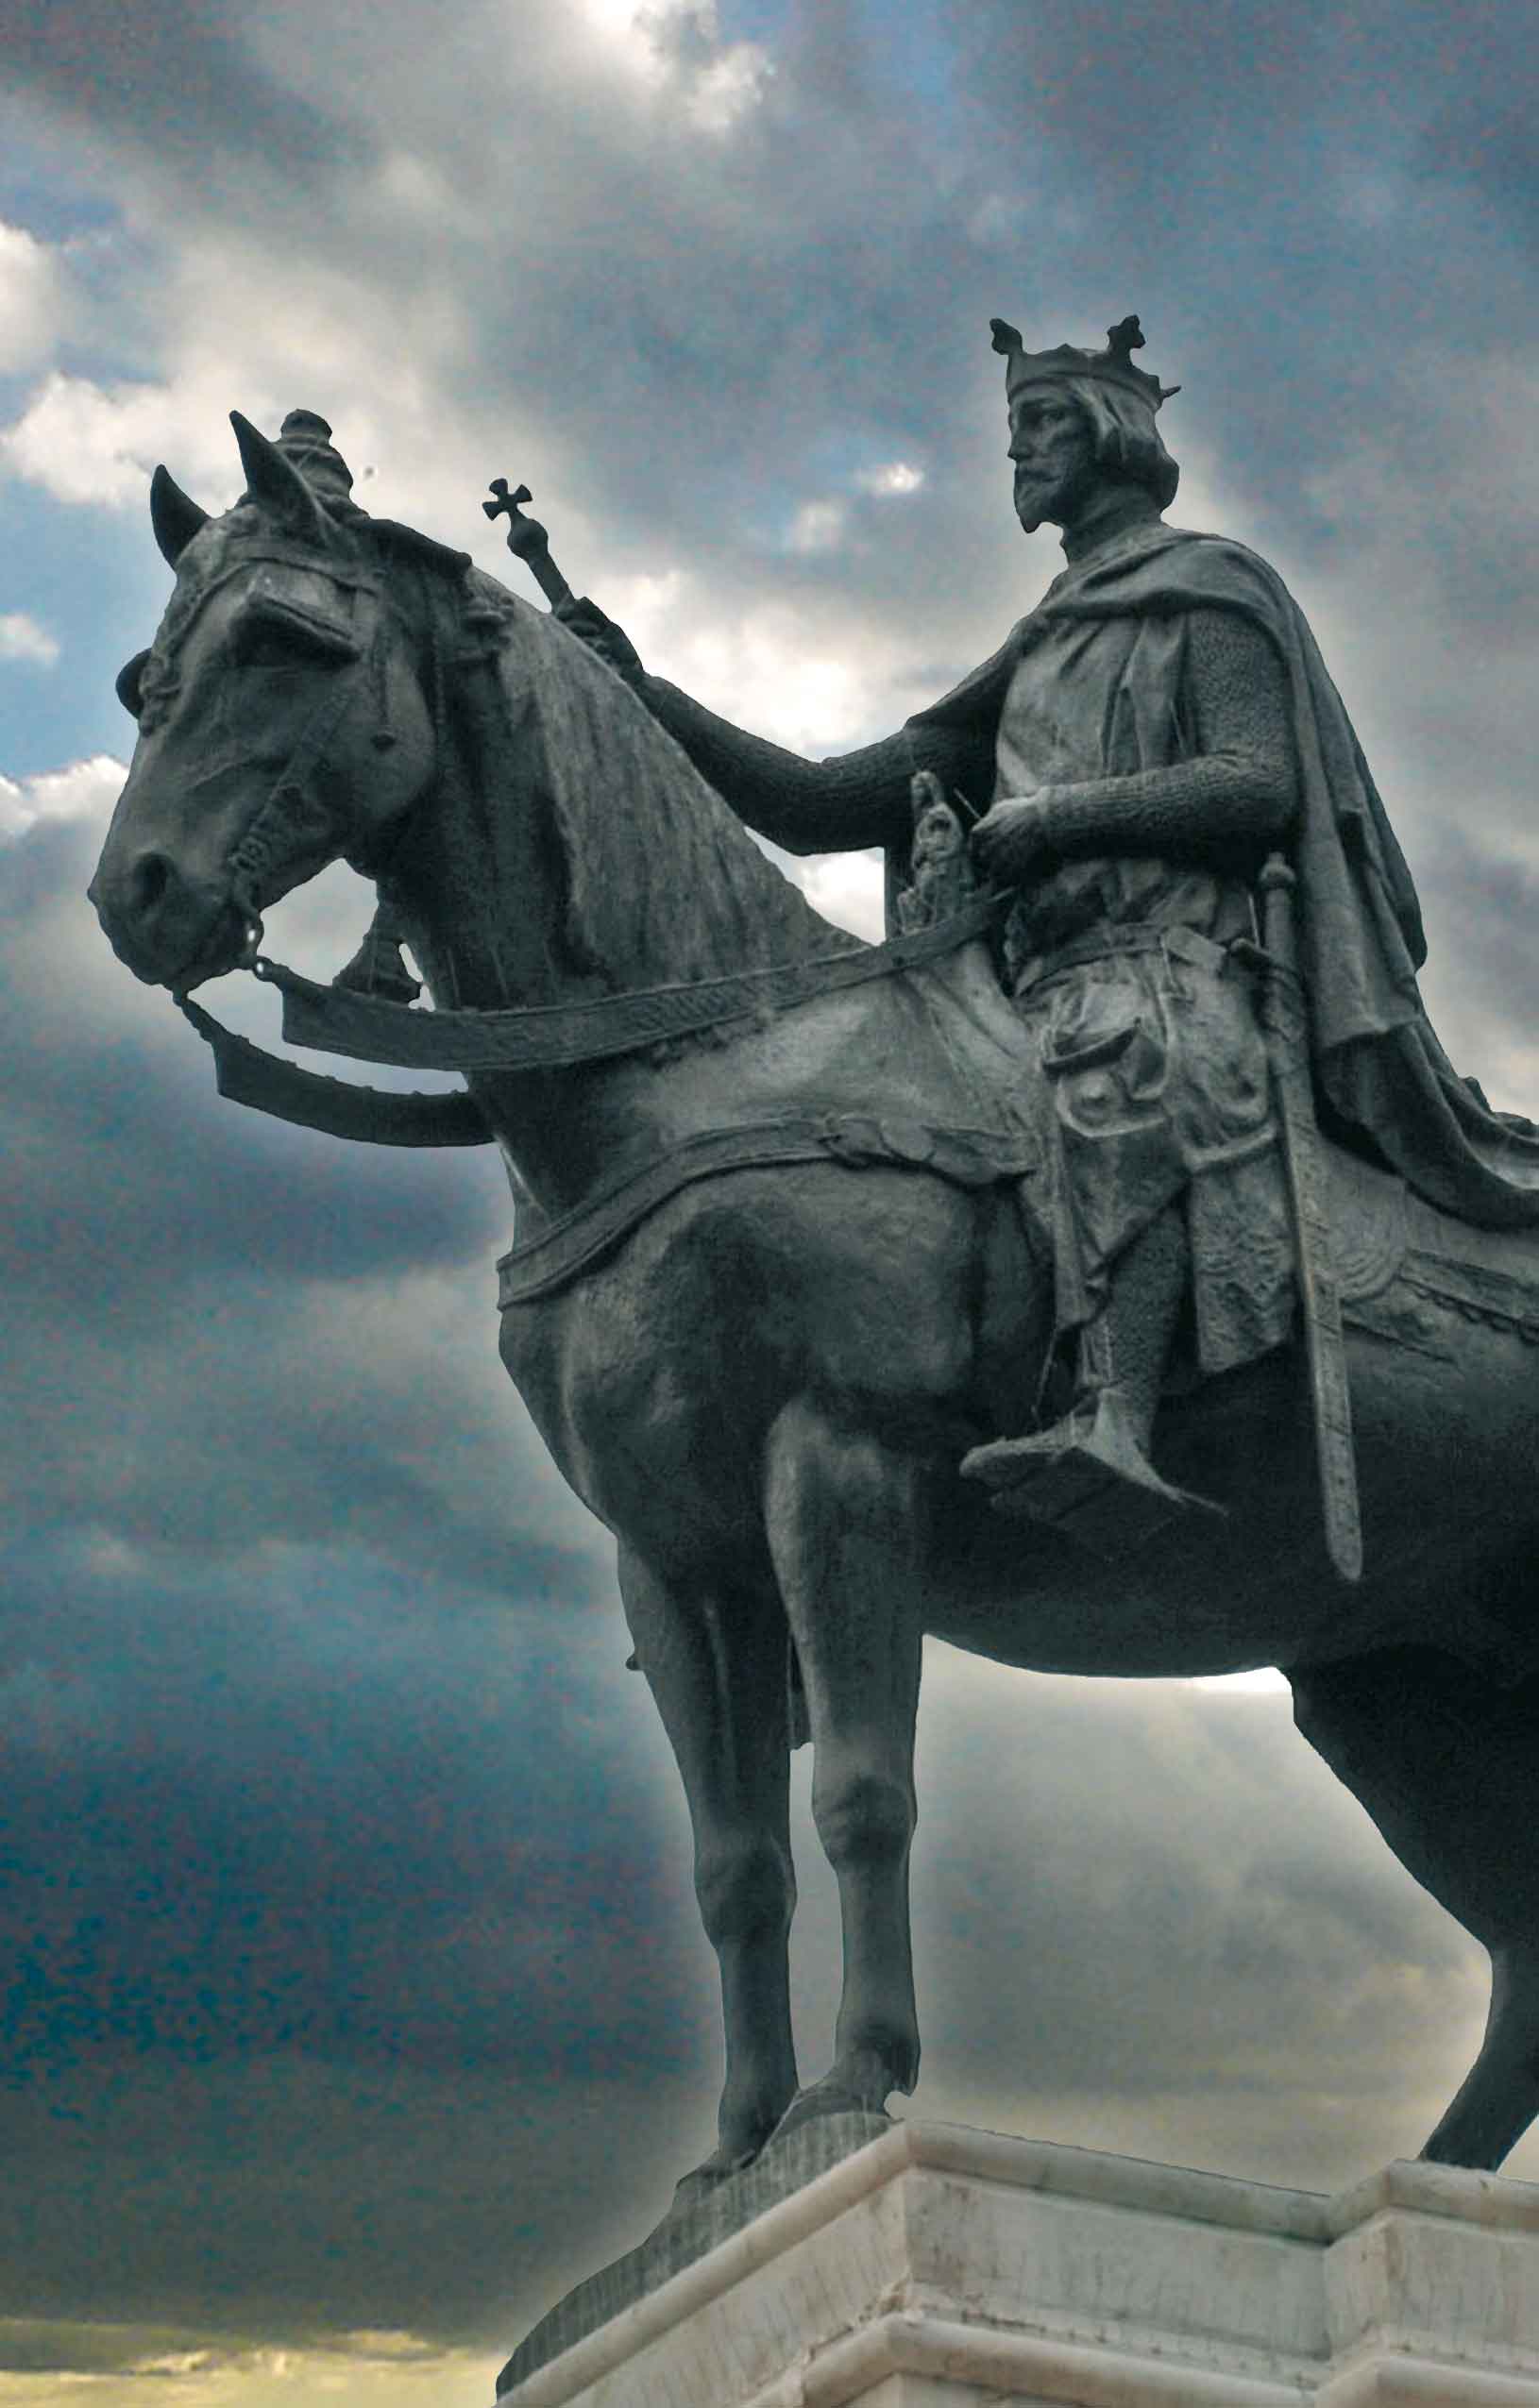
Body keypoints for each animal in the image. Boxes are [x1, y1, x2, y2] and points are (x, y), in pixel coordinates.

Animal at [90, 409, 1539, 2186]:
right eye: (144, 676)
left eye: (288, 640)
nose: (136, 893)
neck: (703, 1064)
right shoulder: (670, 1548)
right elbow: (733, 1863)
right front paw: (729, 2152)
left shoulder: (837, 1460)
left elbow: (859, 1791)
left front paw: (851, 2091)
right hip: (1410, 1687)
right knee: (1526, 1958)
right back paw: (1425, 2187)